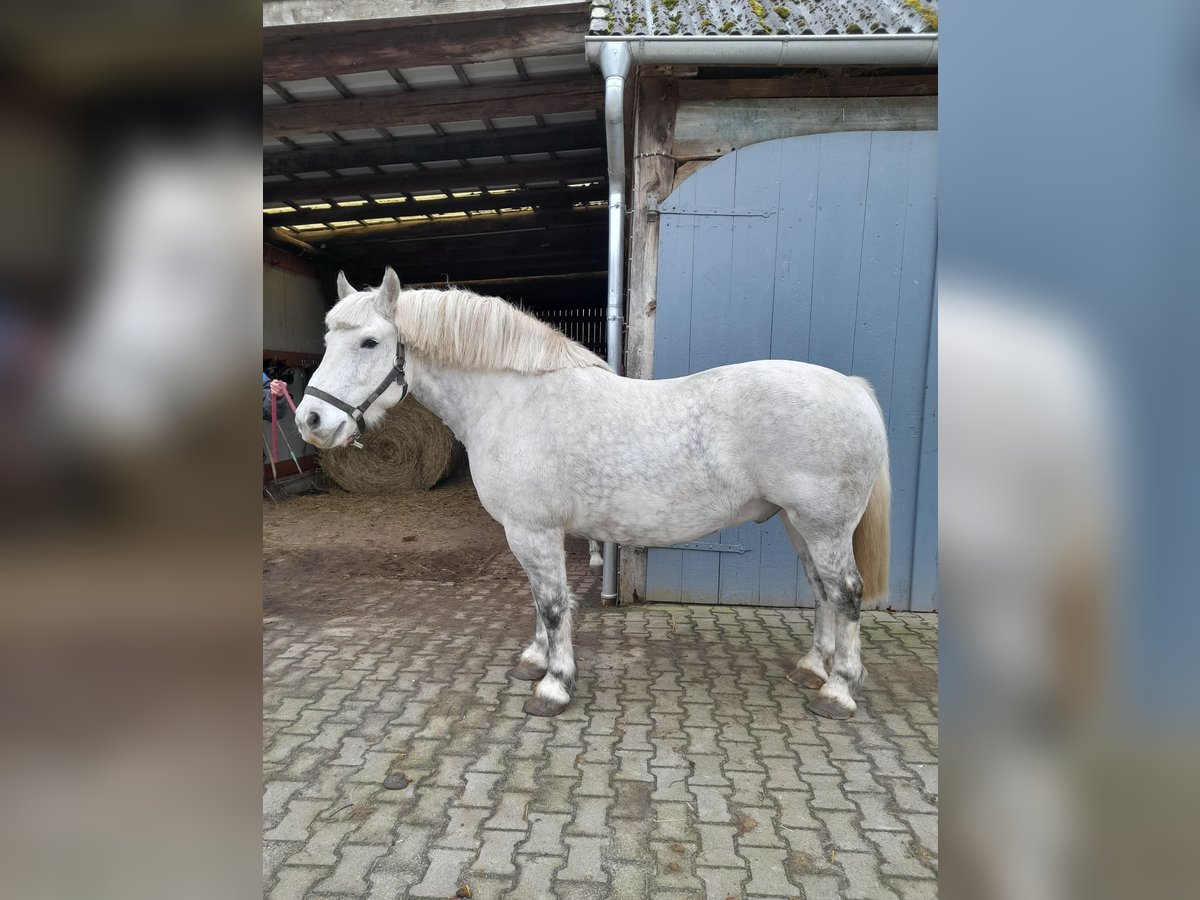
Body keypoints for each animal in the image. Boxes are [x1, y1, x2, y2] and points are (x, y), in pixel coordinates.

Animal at [294, 267, 888, 720]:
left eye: (370, 342)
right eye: (326, 342)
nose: (311, 420)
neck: (512, 401)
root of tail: (852, 388)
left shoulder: (532, 530)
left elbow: (555, 604)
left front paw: (555, 685)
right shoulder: (533, 532)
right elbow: (540, 599)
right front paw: (536, 659)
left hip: (823, 525)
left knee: (847, 593)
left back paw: (839, 689)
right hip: (797, 522)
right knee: (821, 590)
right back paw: (812, 668)